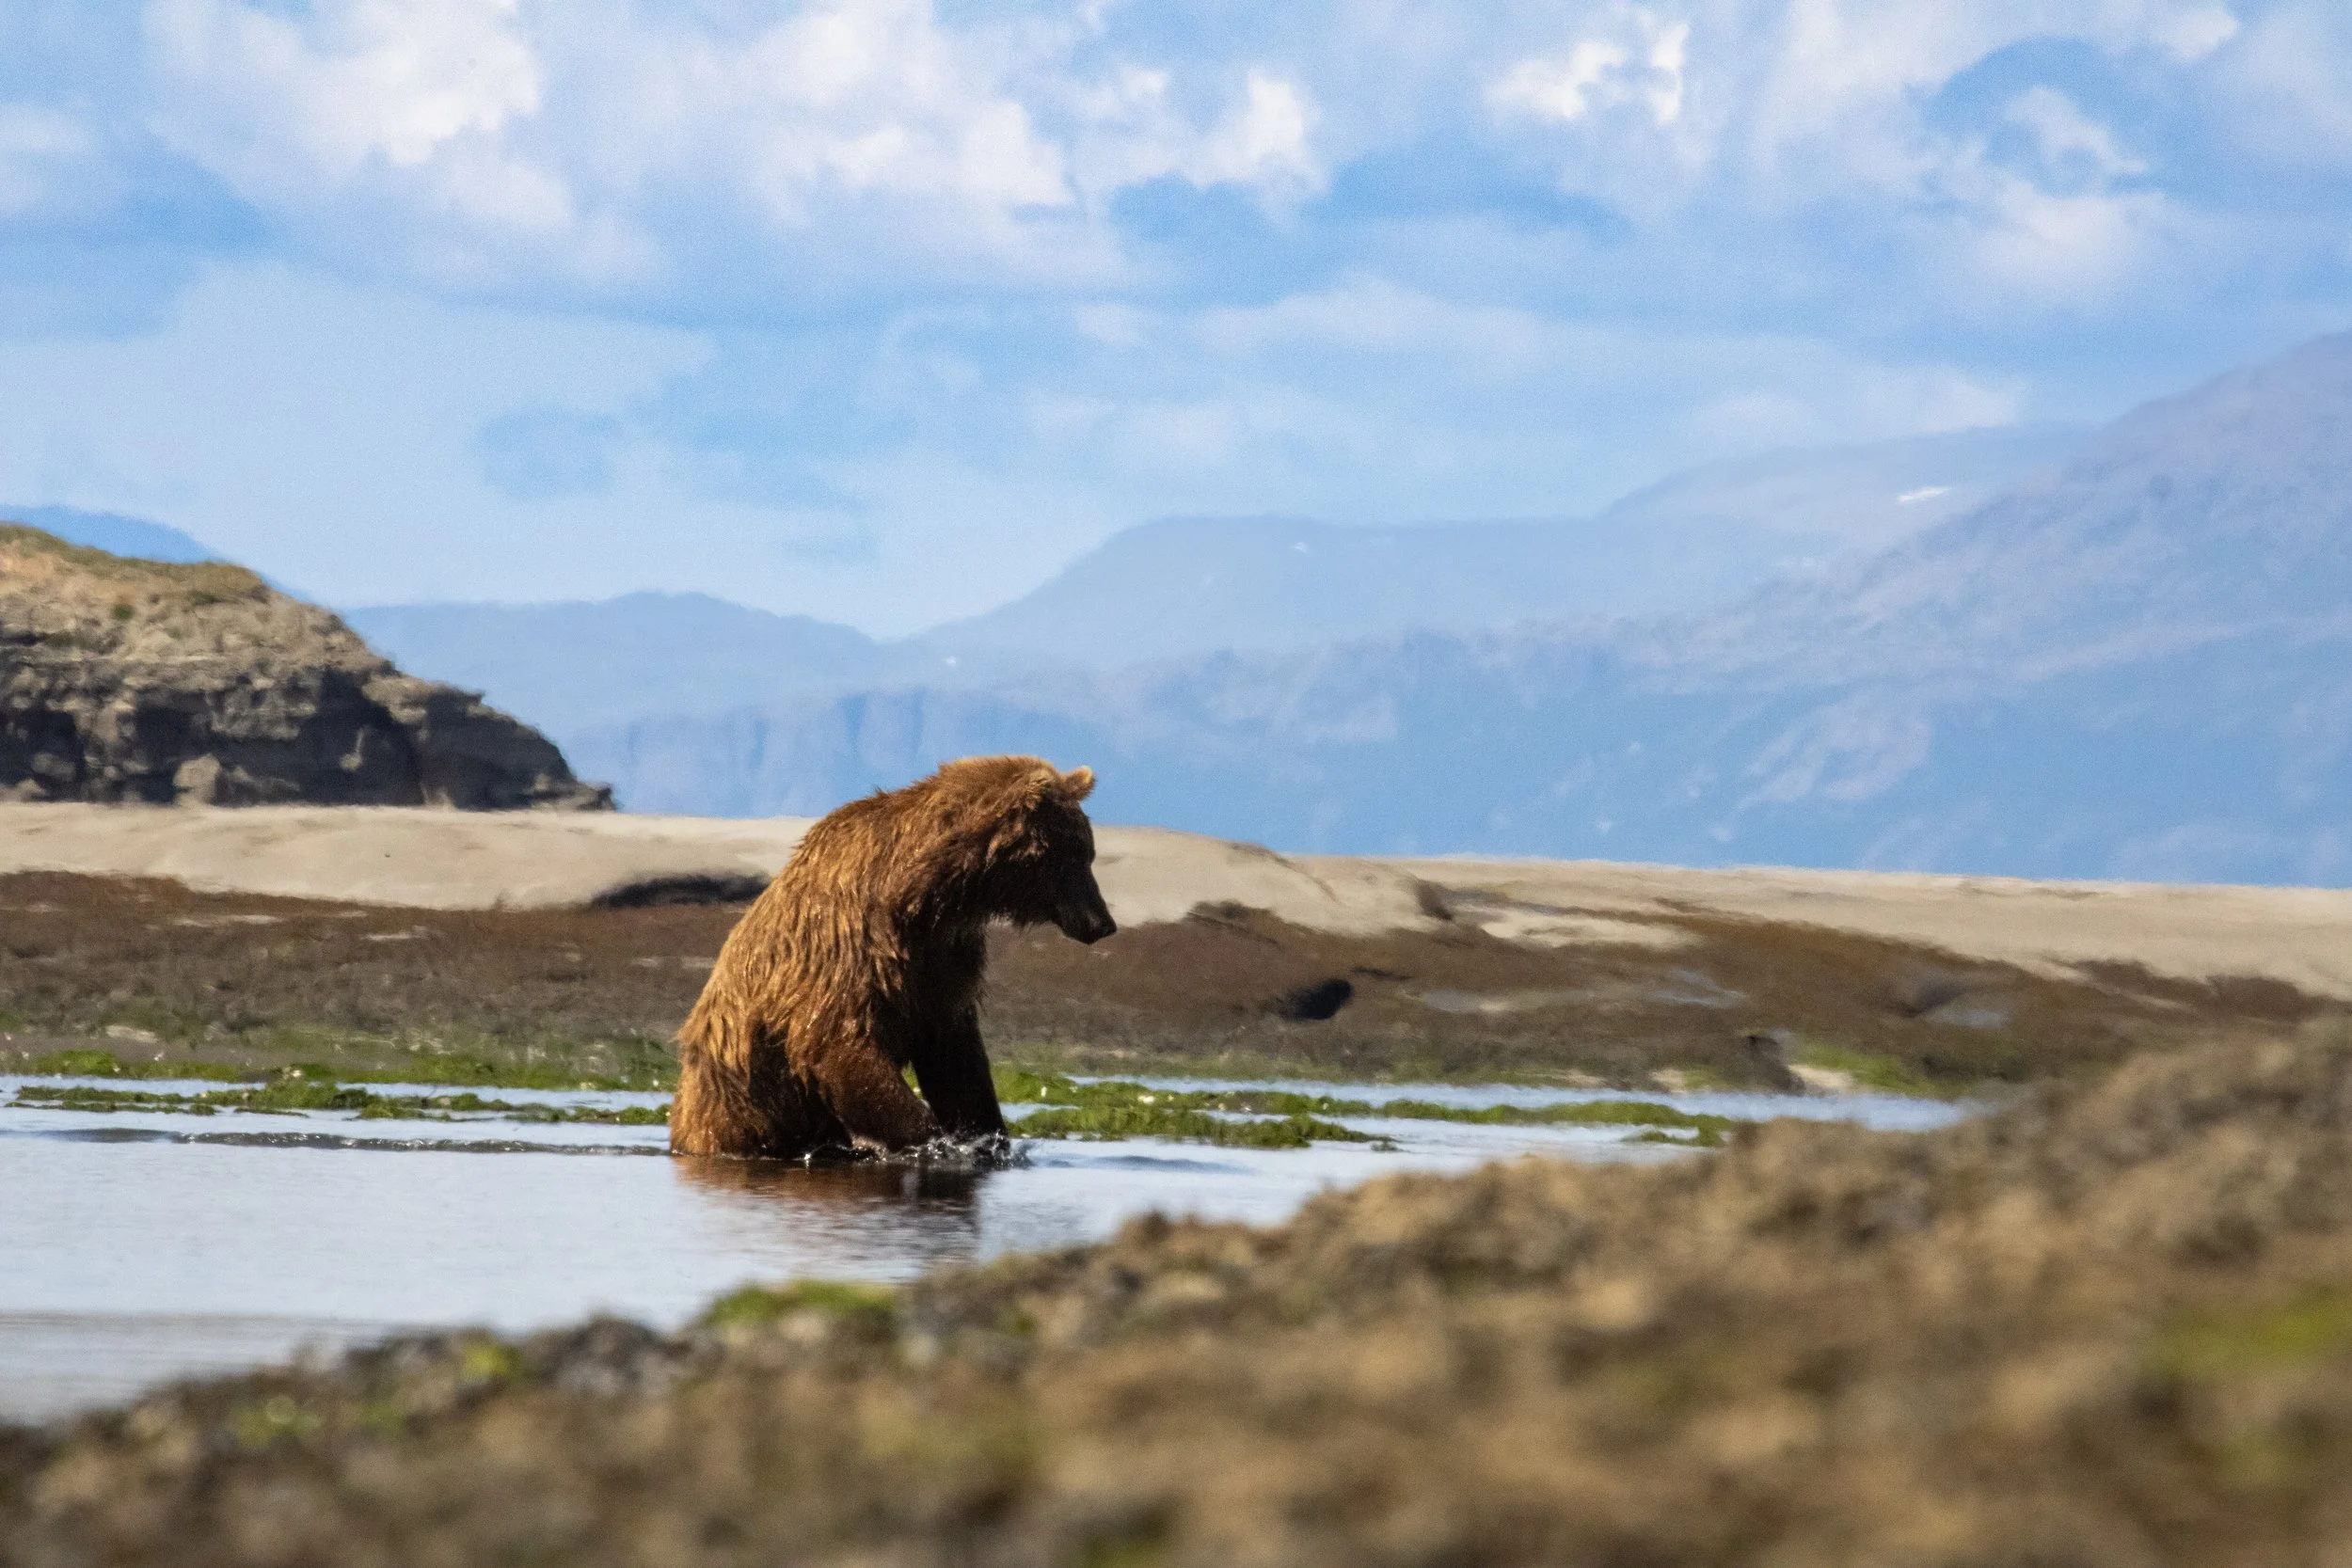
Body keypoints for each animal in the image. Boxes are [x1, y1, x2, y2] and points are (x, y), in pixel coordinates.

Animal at [669, 755, 1117, 1160]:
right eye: (1077, 855)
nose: (1104, 922)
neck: (926, 895)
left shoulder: (942, 960)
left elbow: (955, 1057)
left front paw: (985, 1138)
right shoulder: (851, 947)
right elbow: (838, 1043)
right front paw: (935, 1141)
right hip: (739, 1107)